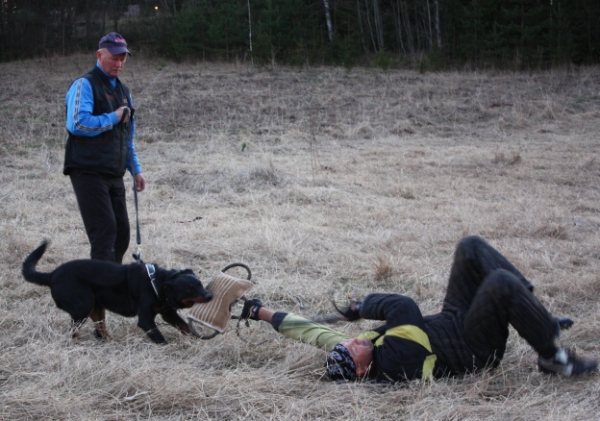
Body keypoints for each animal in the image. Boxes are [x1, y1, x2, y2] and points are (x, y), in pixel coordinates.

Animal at [21, 241, 213, 342]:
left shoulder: (168, 313)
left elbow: (185, 327)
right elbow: (159, 337)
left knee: (100, 328)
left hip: (97, 307)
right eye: (188, 289)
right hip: (83, 305)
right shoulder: (146, 319)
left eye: (199, 283)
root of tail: (52, 275)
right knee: (74, 330)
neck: (157, 283)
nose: (209, 295)